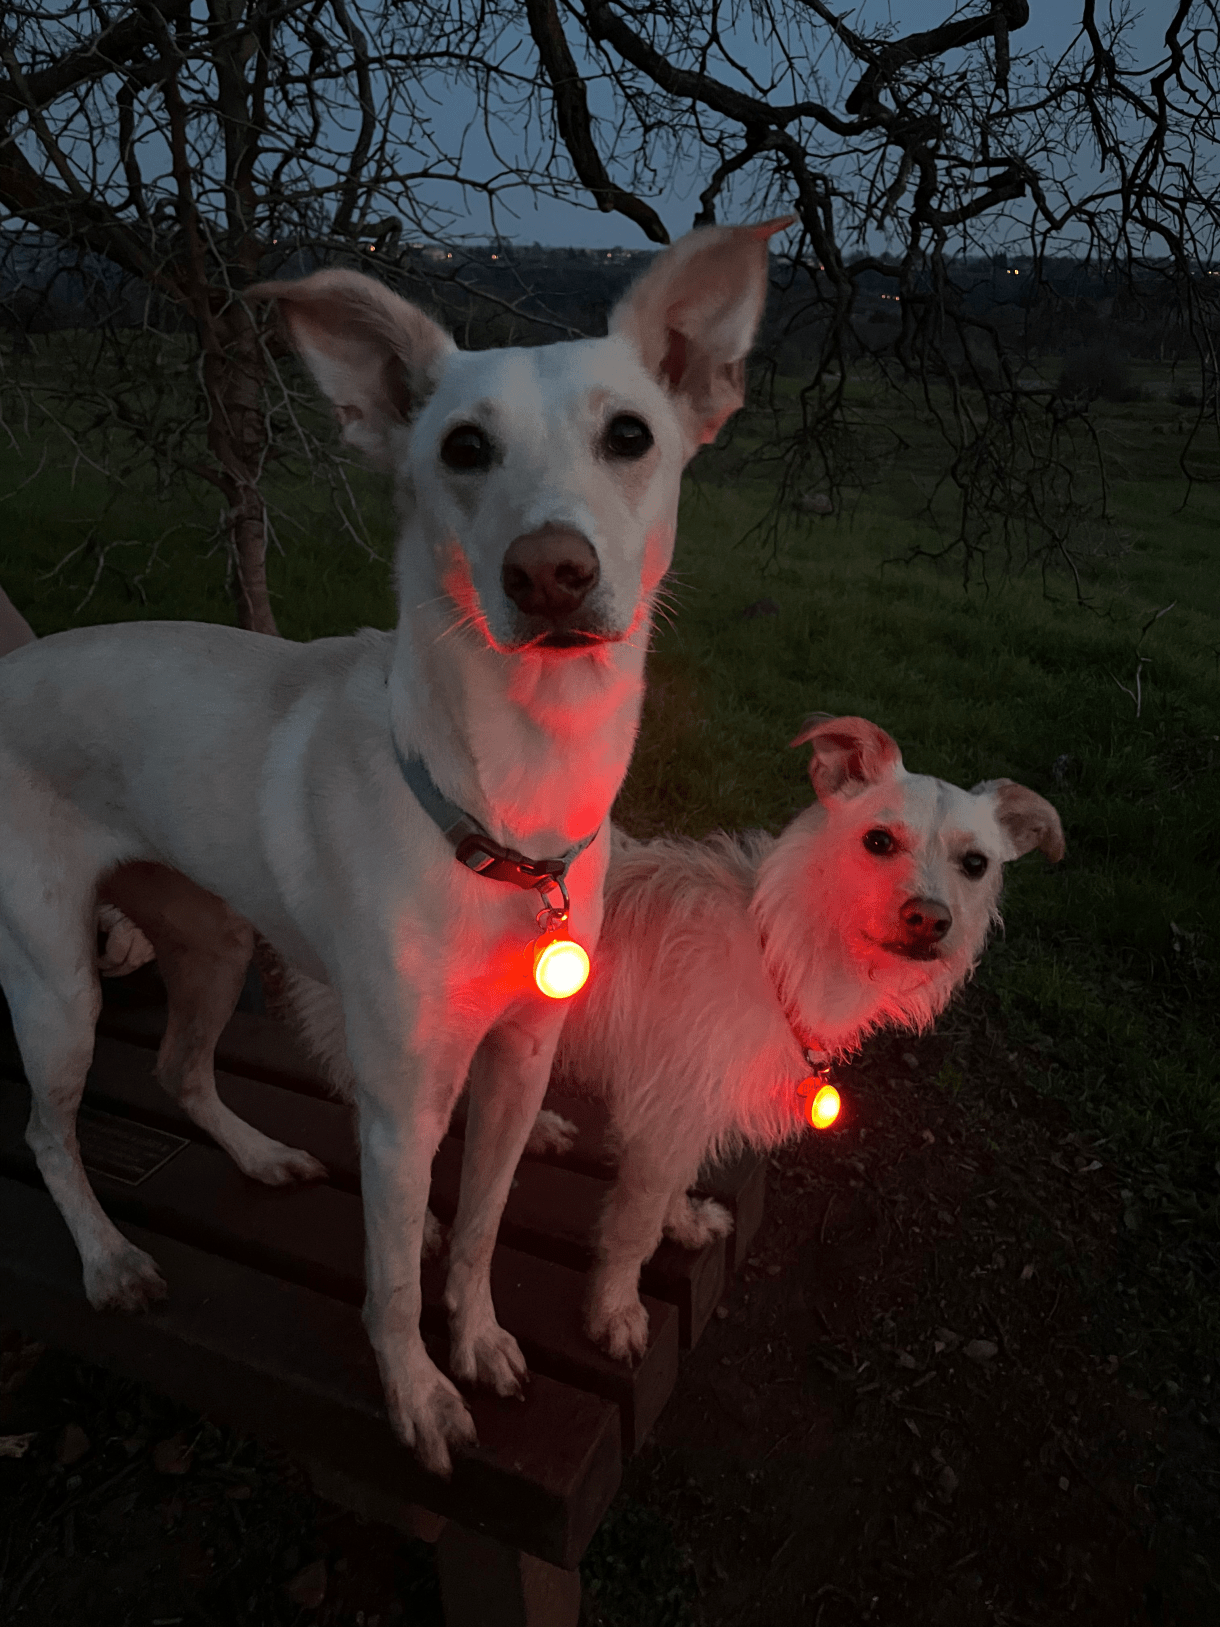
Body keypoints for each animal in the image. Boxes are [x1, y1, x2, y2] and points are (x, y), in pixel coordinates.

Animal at [0, 222, 787, 1483]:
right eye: (462, 447)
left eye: (629, 434)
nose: (549, 572)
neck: (508, 801)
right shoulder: (402, 1104)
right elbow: (389, 1279)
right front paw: (416, 1392)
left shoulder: (517, 1060)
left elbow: (475, 1229)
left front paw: (479, 1338)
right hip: (57, 985)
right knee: (47, 1127)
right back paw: (109, 1259)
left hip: (214, 937)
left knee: (179, 1067)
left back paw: (259, 1154)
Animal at [549, 712, 1067, 1360]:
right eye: (878, 841)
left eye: (976, 864)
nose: (930, 919)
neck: (779, 953)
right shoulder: (664, 1116)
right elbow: (633, 1228)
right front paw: (614, 1311)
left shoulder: (689, 1113)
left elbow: (675, 1185)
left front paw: (684, 1223)